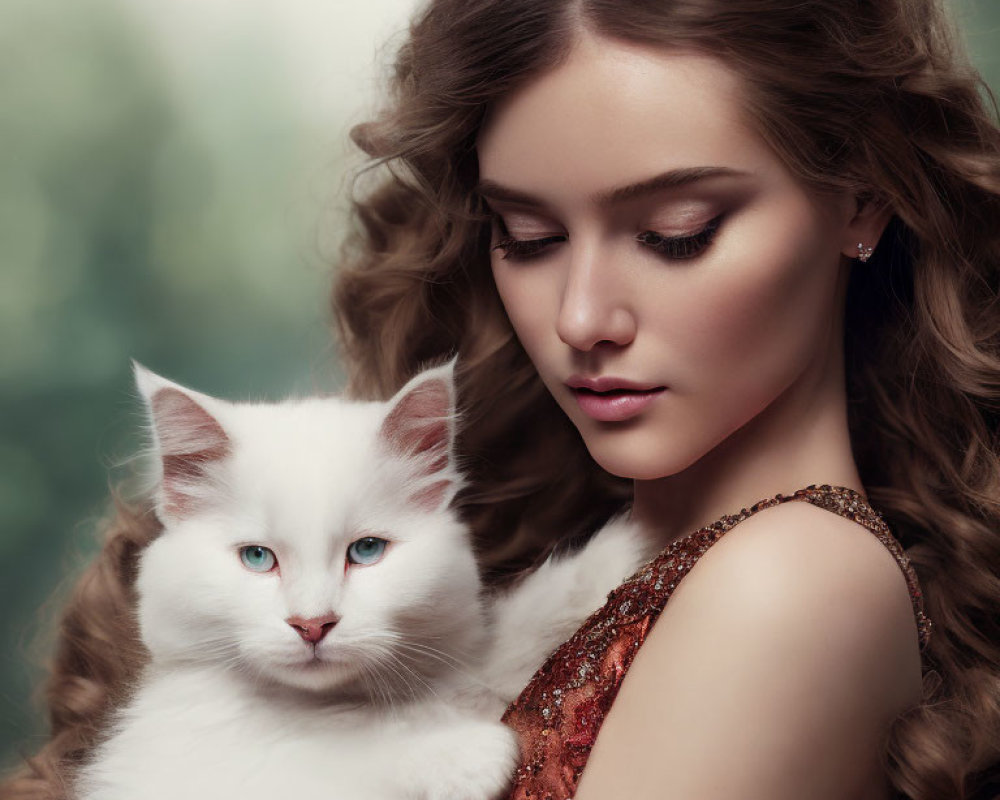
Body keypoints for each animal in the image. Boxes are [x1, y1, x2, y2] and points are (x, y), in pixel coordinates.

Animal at [78, 360, 656, 800]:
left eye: (366, 551)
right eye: (258, 558)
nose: (312, 625)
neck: (338, 704)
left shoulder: (468, 665)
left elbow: (518, 638)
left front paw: (630, 550)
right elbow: (335, 757)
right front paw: (469, 755)